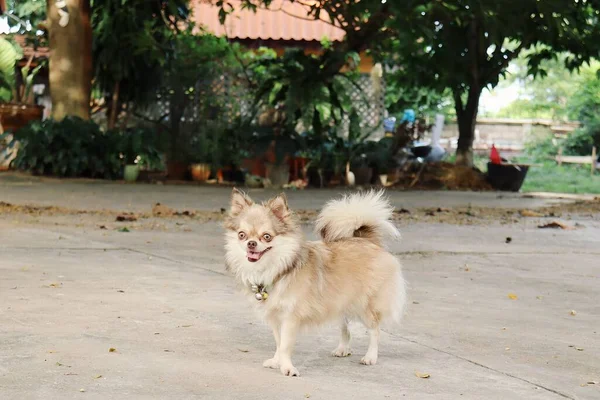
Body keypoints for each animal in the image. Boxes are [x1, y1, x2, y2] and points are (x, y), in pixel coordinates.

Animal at [225, 189, 408, 376]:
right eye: (241, 235)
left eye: (267, 237)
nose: (251, 244)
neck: (278, 269)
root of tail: (367, 240)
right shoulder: (275, 317)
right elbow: (278, 342)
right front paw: (277, 362)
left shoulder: (290, 317)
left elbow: (285, 345)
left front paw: (287, 368)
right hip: (339, 303)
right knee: (345, 329)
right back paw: (343, 349)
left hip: (365, 306)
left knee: (375, 330)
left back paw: (370, 356)